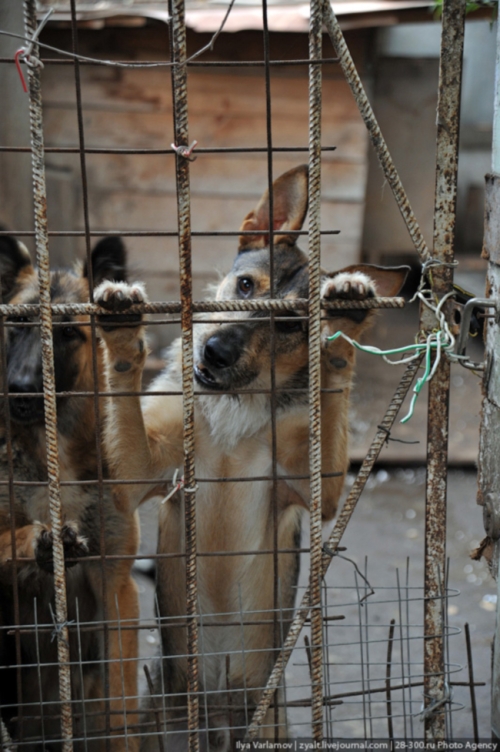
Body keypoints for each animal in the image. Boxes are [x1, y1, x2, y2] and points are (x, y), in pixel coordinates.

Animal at [0, 236, 142, 752]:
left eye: (67, 334)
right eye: (18, 324)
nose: (20, 391)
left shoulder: (116, 587)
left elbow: (121, 710)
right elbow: (16, 537)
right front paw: (43, 540)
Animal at [95, 166, 408, 752]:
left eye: (288, 326)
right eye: (245, 286)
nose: (214, 352)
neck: (233, 404)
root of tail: (219, 716)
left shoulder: (315, 488)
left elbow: (333, 384)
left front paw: (344, 327)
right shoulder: (135, 476)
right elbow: (124, 383)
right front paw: (123, 334)